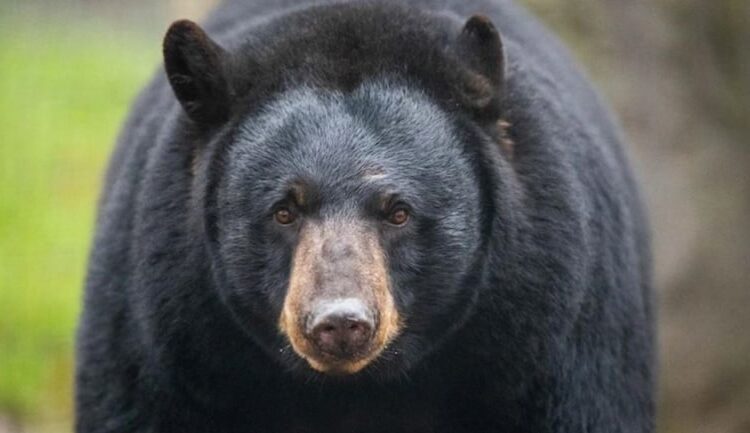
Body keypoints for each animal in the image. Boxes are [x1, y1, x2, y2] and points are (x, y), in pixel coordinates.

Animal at [75, 0, 655, 432]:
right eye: (283, 211)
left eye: (398, 212)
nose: (339, 323)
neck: (356, 391)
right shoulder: (168, 340)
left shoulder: (549, 335)